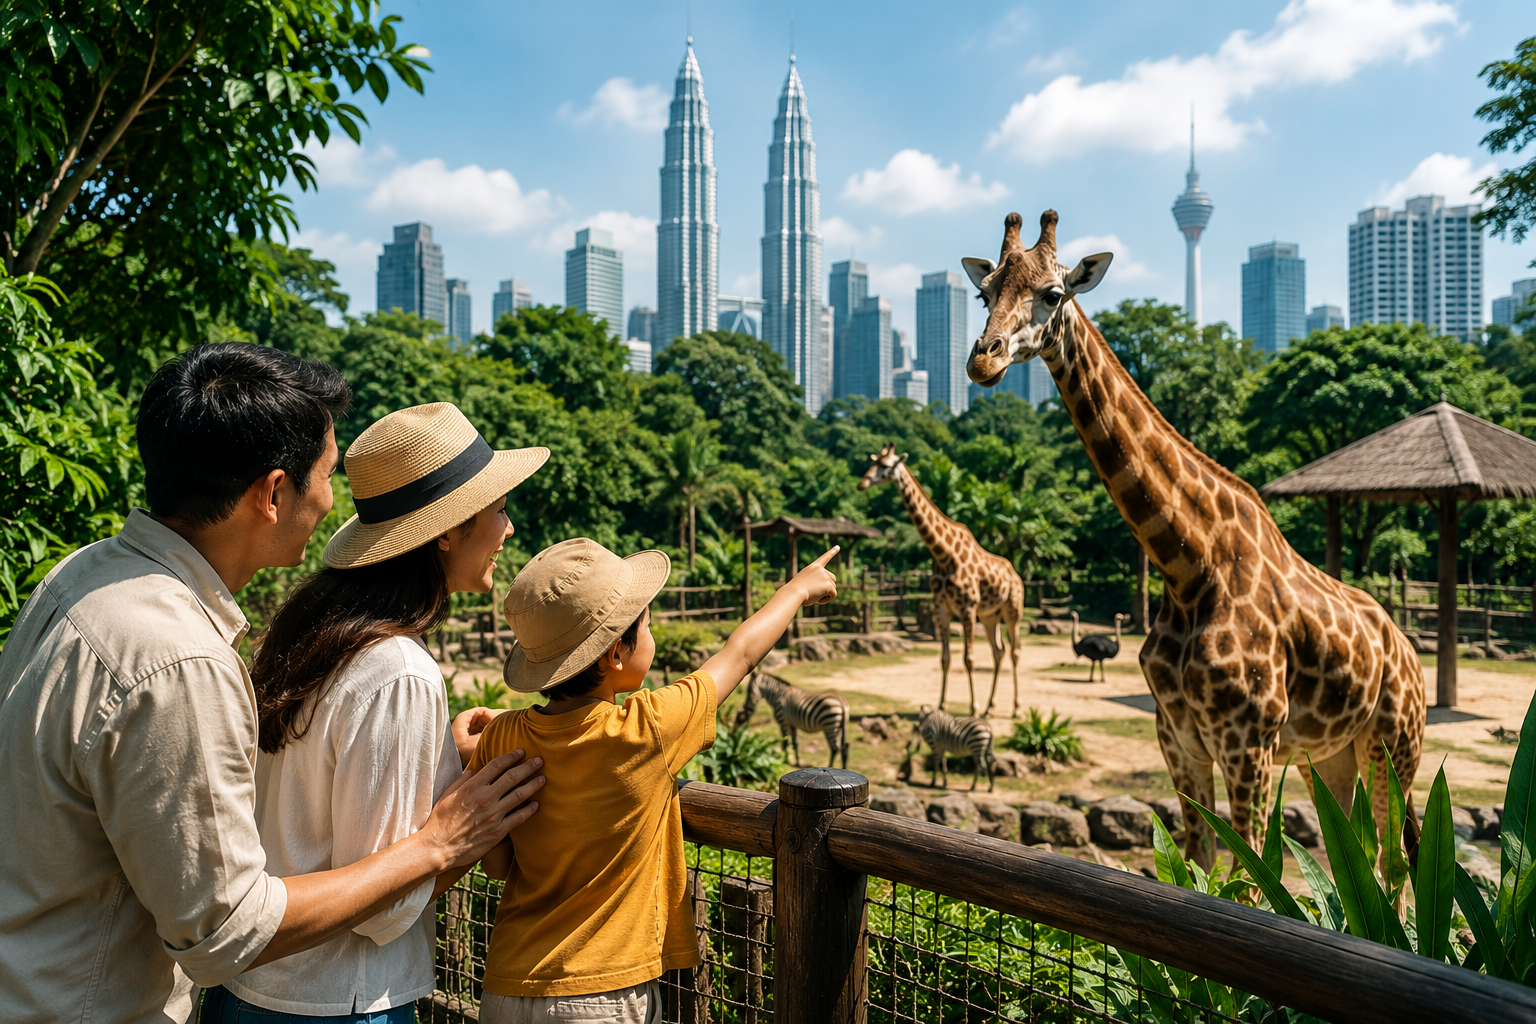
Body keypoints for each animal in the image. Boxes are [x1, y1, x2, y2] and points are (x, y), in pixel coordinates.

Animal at [859, 445, 1025, 718]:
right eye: (873, 462)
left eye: (886, 466)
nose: (862, 483)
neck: (943, 553)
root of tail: (1017, 575)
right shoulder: (941, 609)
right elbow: (945, 659)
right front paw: (941, 706)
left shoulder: (967, 608)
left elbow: (968, 658)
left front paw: (972, 708)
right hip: (990, 615)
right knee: (998, 651)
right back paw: (990, 707)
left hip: (1013, 609)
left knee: (1015, 651)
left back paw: (1016, 709)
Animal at [961, 210, 1424, 867]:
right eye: (984, 294)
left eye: (1054, 294)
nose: (984, 360)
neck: (1188, 568)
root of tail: (1407, 650)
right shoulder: (1178, 738)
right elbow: (1198, 866)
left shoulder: (1250, 743)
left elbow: (1253, 876)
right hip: (1331, 754)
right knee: (1353, 856)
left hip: (1393, 744)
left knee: (1393, 862)